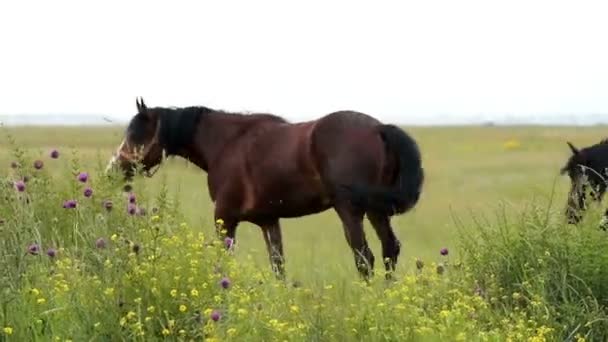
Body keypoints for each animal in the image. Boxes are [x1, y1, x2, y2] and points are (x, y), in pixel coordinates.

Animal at [104, 97, 426, 280]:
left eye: (136, 135)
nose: (113, 171)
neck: (226, 144)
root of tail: (379, 128)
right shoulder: (269, 221)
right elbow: (278, 267)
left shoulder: (225, 218)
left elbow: (224, 263)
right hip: (376, 210)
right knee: (389, 250)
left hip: (350, 210)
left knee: (365, 258)